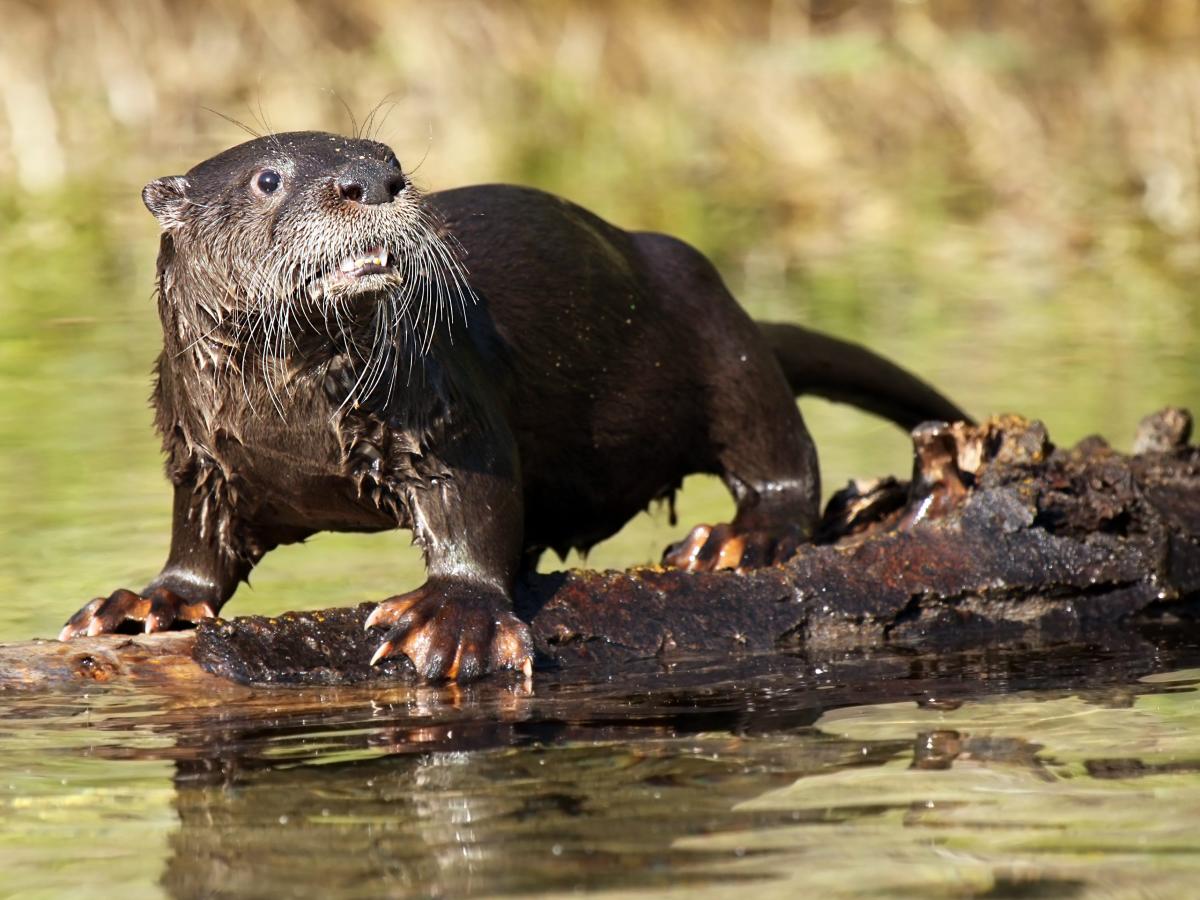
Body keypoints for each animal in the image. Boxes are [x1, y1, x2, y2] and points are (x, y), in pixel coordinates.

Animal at [60, 130, 969, 681]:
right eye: (269, 178)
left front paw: (453, 617)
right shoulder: (200, 452)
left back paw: (740, 538)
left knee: (778, 449)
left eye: (387, 156)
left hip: (714, 321)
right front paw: (146, 601)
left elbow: (478, 505)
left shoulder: (445, 409)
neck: (290, 427)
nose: (372, 181)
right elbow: (199, 541)